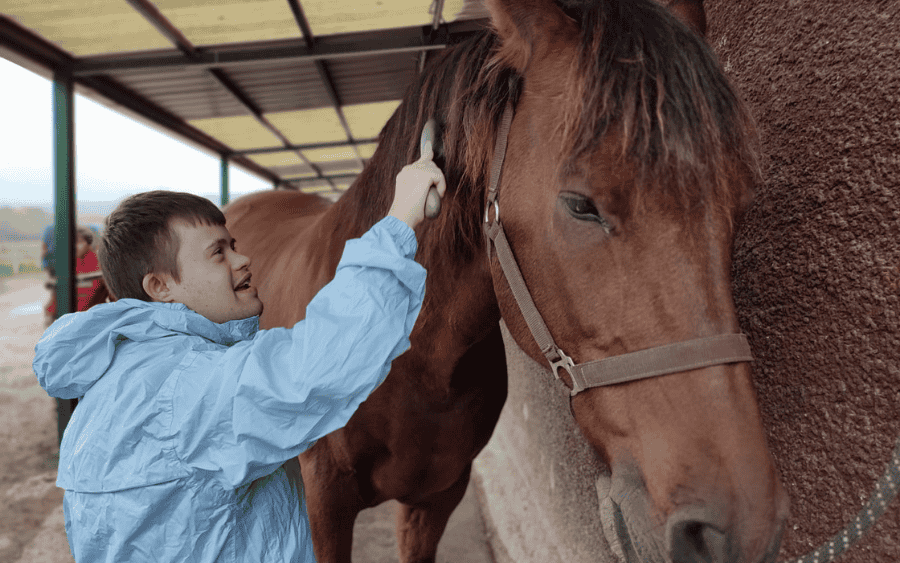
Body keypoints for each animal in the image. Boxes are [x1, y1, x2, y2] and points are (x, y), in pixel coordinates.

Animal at [225, 1, 788, 563]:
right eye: (580, 205)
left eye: (739, 198)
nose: (735, 531)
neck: (408, 361)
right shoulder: (324, 503)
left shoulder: (435, 499)